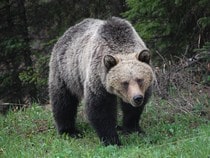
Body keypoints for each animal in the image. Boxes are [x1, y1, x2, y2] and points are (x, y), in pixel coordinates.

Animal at [48, 17, 154, 146]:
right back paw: (69, 131)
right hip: (66, 72)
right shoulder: (98, 80)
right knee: (63, 100)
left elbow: (132, 110)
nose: (137, 98)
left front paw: (133, 129)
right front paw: (112, 140)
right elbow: (100, 109)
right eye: (124, 82)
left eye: (140, 79)